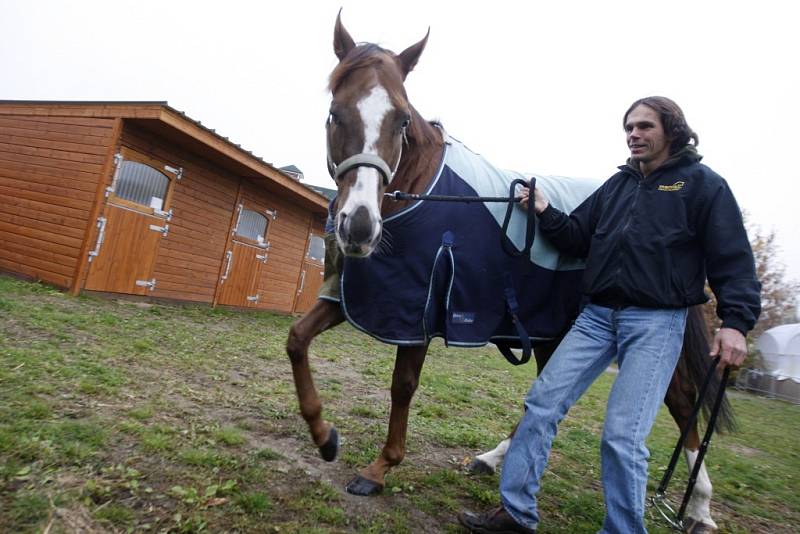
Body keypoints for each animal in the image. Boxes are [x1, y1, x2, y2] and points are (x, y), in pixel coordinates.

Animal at [288, 11, 732, 532]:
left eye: (401, 120)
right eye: (336, 112)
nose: (359, 226)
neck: (420, 190)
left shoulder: (419, 308)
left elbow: (402, 388)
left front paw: (379, 469)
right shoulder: (356, 296)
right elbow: (297, 340)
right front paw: (325, 437)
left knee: (682, 404)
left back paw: (700, 510)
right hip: (554, 334)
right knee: (550, 398)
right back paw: (492, 459)